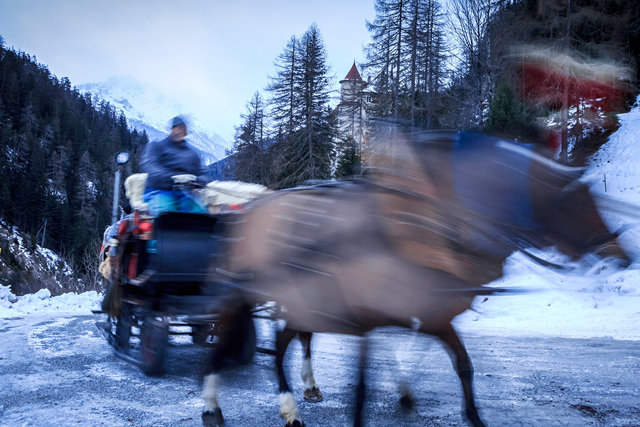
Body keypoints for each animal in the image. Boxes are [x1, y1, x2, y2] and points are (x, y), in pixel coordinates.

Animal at [200, 129, 632, 427]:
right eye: (574, 198)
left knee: (283, 342)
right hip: (249, 293)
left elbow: (461, 365)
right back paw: (218, 404)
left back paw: (298, 395)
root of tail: (248, 210)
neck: (431, 229)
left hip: (301, 300)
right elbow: (362, 387)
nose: (622, 256)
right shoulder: (367, 319)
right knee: (234, 338)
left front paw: (464, 413)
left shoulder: (432, 314)